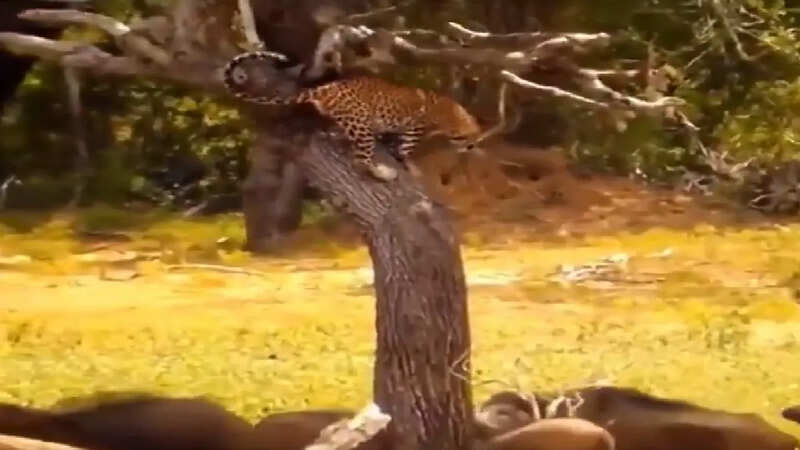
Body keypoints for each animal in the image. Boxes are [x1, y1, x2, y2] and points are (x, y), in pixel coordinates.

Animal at [223, 51, 482, 181]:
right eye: (469, 139)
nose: (471, 148)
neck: (454, 114)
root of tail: (328, 87)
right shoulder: (415, 127)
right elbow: (406, 147)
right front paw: (409, 163)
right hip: (360, 122)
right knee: (361, 160)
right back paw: (383, 173)